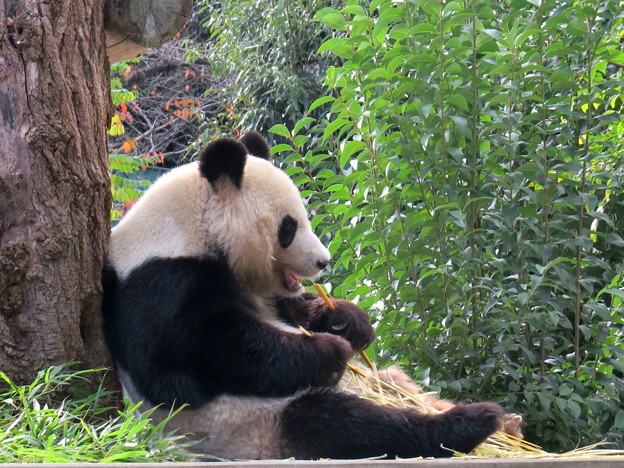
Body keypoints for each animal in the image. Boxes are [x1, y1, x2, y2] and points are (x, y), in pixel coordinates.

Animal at [100, 132, 504, 460]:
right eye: (289, 228)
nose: (323, 261)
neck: (188, 229)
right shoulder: (163, 282)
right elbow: (181, 370)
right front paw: (329, 351)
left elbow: (294, 308)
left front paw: (349, 321)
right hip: (254, 426)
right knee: (341, 421)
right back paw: (471, 422)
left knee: (393, 385)